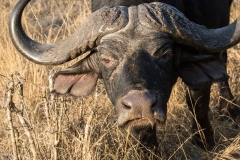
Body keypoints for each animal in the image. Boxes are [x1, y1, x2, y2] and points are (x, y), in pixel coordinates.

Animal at [9, 0, 240, 151]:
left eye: (165, 54)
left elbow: (197, 102)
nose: (140, 105)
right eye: (106, 59)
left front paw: (204, 141)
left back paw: (228, 108)